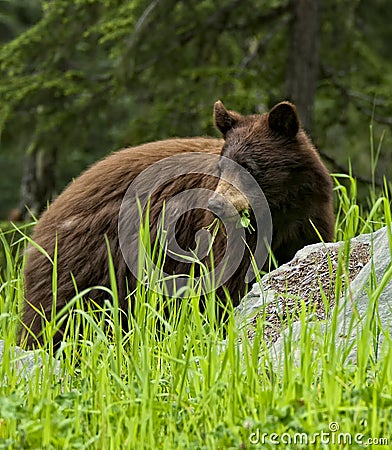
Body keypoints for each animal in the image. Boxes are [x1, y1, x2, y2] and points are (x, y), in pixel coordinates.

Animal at [21, 101, 334, 348]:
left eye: (249, 167)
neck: (278, 211)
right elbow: (226, 287)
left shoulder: (307, 219)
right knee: (56, 316)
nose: (216, 204)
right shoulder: (227, 240)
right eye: (221, 167)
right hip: (83, 265)